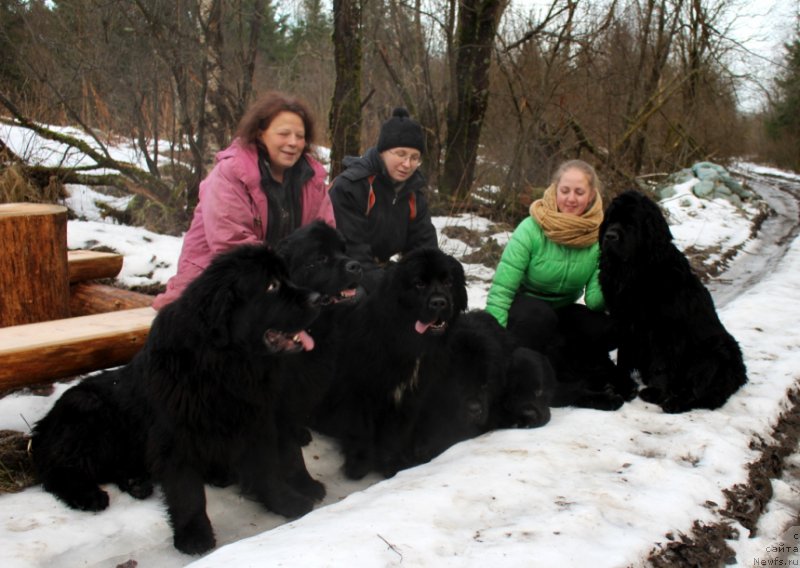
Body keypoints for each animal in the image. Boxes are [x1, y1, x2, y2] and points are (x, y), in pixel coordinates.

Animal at [310, 248, 466, 480]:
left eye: (448, 282)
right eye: (419, 283)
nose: (439, 302)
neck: (408, 342)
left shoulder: (409, 396)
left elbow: (396, 433)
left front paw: (391, 464)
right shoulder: (360, 390)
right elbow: (361, 428)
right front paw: (358, 464)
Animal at [604, 191, 748, 412]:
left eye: (631, 224)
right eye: (611, 219)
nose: (609, 236)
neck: (635, 272)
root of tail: (739, 376)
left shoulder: (665, 328)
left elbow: (661, 363)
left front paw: (656, 392)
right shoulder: (624, 321)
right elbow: (623, 356)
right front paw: (621, 385)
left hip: (713, 352)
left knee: (699, 391)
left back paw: (674, 402)